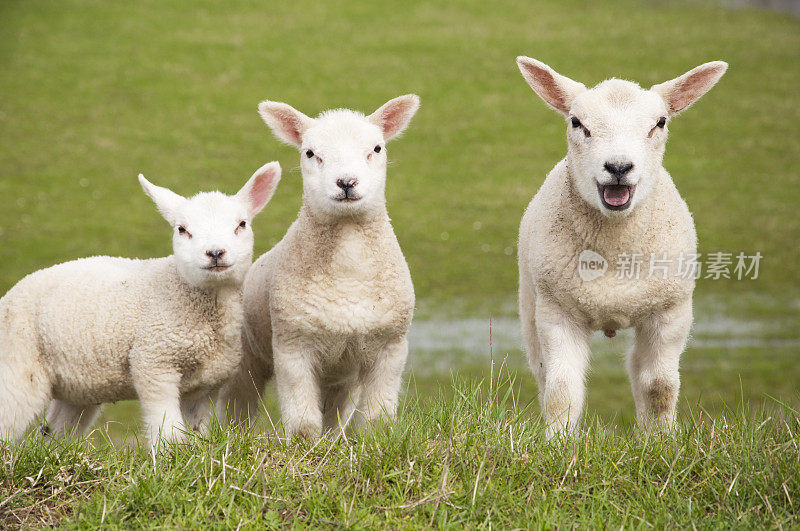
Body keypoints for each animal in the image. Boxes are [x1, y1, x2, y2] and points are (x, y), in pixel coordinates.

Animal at [0, 163, 282, 448]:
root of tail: (10, 294)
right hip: (17, 365)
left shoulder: (205, 386)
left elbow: (196, 429)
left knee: (56, 430)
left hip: (76, 384)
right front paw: (170, 453)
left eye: (242, 224)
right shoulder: (154, 363)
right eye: (182, 229)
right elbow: (166, 427)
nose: (215, 253)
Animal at [219, 95, 418, 440]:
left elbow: (377, 417)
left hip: (342, 375)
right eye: (310, 153)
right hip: (245, 358)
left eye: (377, 148)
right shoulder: (292, 345)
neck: (349, 273)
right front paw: (303, 447)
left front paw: (375, 442)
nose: (346, 182)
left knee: (335, 414)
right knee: (238, 406)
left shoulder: (390, 346)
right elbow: (302, 421)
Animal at [516, 56, 728, 438]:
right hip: (530, 299)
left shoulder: (671, 310)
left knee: (637, 368)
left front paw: (661, 440)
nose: (618, 166)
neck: (614, 254)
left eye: (660, 123)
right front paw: (558, 443)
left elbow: (659, 386)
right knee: (541, 372)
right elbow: (561, 388)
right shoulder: (557, 310)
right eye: (577, 122)